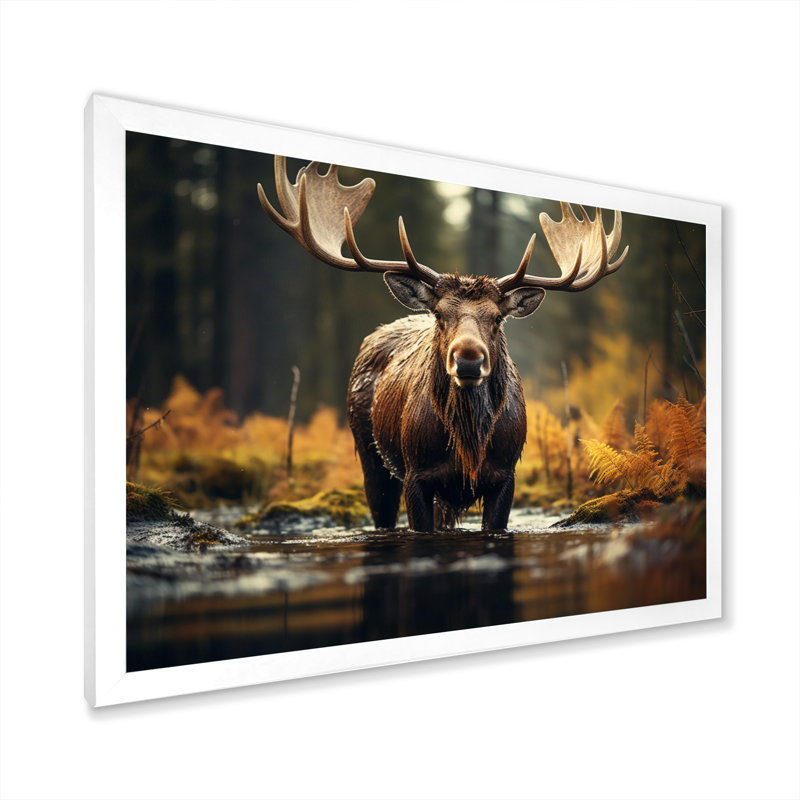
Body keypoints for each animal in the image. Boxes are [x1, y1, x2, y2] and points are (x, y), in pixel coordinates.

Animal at [258, 157, 628, 532]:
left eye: (497, 317)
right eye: (438, 313)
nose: (468, 360)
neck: (468, 449)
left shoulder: (506, 475)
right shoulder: (416, 474)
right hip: (369, 453)